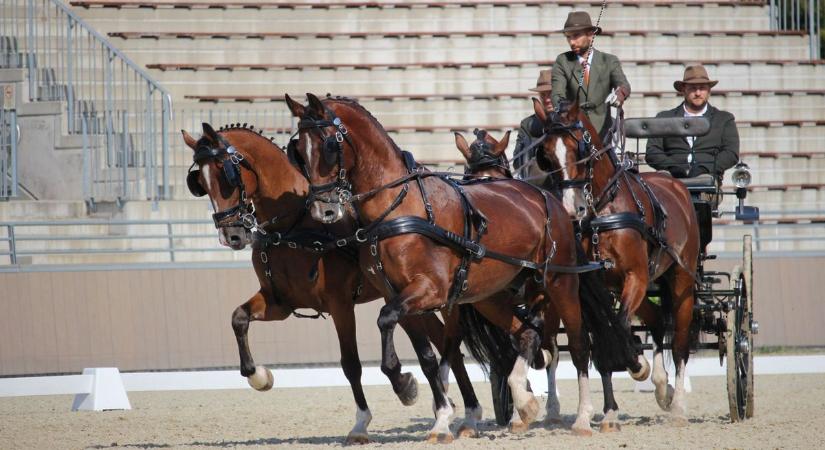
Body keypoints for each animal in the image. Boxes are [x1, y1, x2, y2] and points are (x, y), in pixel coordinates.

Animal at [179, 122, 482, 442]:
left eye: (226, 175)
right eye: (200, 182)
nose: (232, 235)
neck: (294, 227)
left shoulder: (340, 305)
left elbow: (350, 364)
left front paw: (363, 422)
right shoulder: (279, 304)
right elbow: (238, 318)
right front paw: (260, 376)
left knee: (447, 346)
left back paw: (460, 411)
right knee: (444, 343)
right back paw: (460, 411)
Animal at [284, 93, 636, 438]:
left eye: (329, 145)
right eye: (298, 150)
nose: (322, 210)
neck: (399, 208)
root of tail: (552, 199)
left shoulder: (430, 290)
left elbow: (391, 323)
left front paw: (405, 386)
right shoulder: (399, 295)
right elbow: (426, 354)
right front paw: (435, 412)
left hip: (561, 283)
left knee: (579, 344)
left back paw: (583, 417)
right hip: (491, 296)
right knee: (526, 332)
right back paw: (524, 405)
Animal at [532, 97, 700, 426]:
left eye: (578, 146)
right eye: (545, 153)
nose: (572, 208)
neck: (602, 211)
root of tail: (677, 185)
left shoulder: (635, 277)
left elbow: (620, 324)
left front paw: (636, 364)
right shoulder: (593, 286)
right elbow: (602, 340)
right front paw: (611, 410)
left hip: (681, 280)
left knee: (680, 342)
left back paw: (677, 406)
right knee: (657, 321)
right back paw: (662, 387)